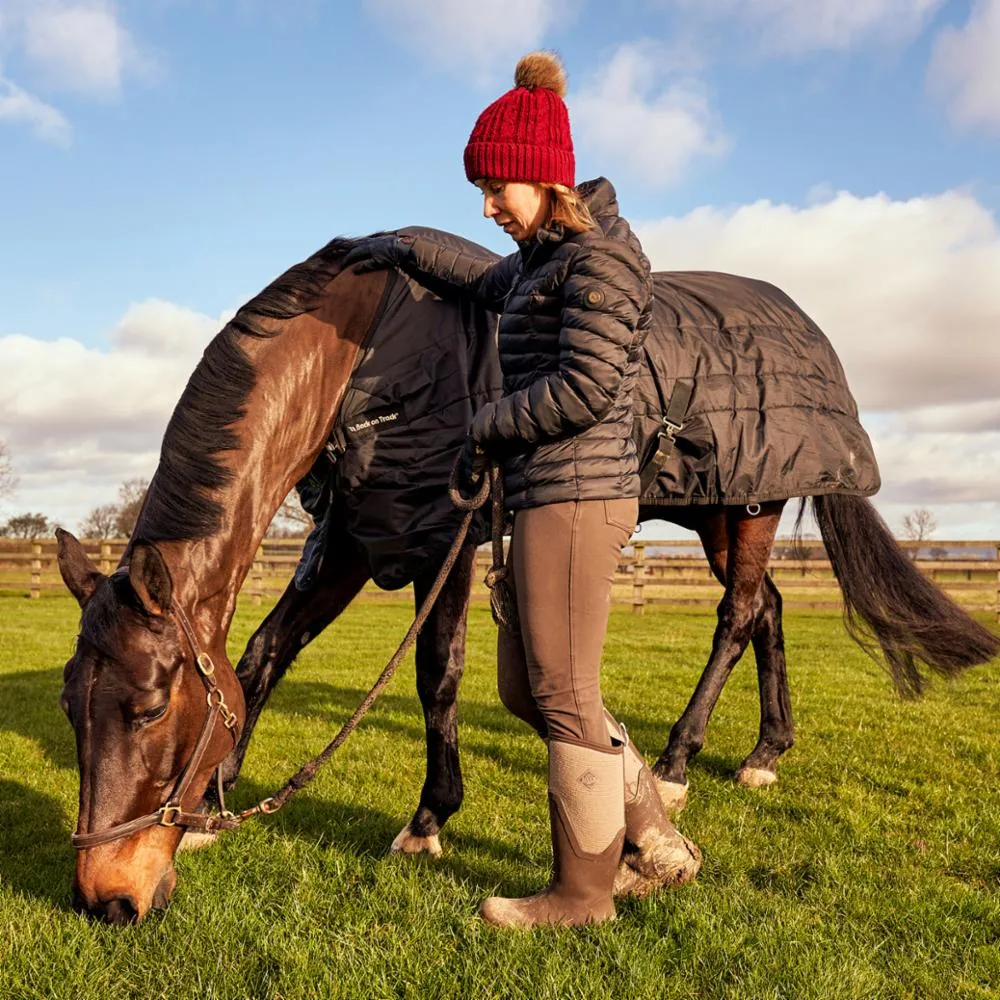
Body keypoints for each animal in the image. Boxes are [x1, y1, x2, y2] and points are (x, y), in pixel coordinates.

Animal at [56, 234, 1000, 920]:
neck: (361, 360)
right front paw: (214, 806)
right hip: (717, 511)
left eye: (148, 709)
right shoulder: (355, 536)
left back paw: (676, 764)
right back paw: (764, 754)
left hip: (751, 507)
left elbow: (436, 675)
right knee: (766, 608)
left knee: (737, 614)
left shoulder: (440, 534)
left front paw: (427, 821)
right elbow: (258, 656)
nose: (109, 899)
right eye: (71, 704)